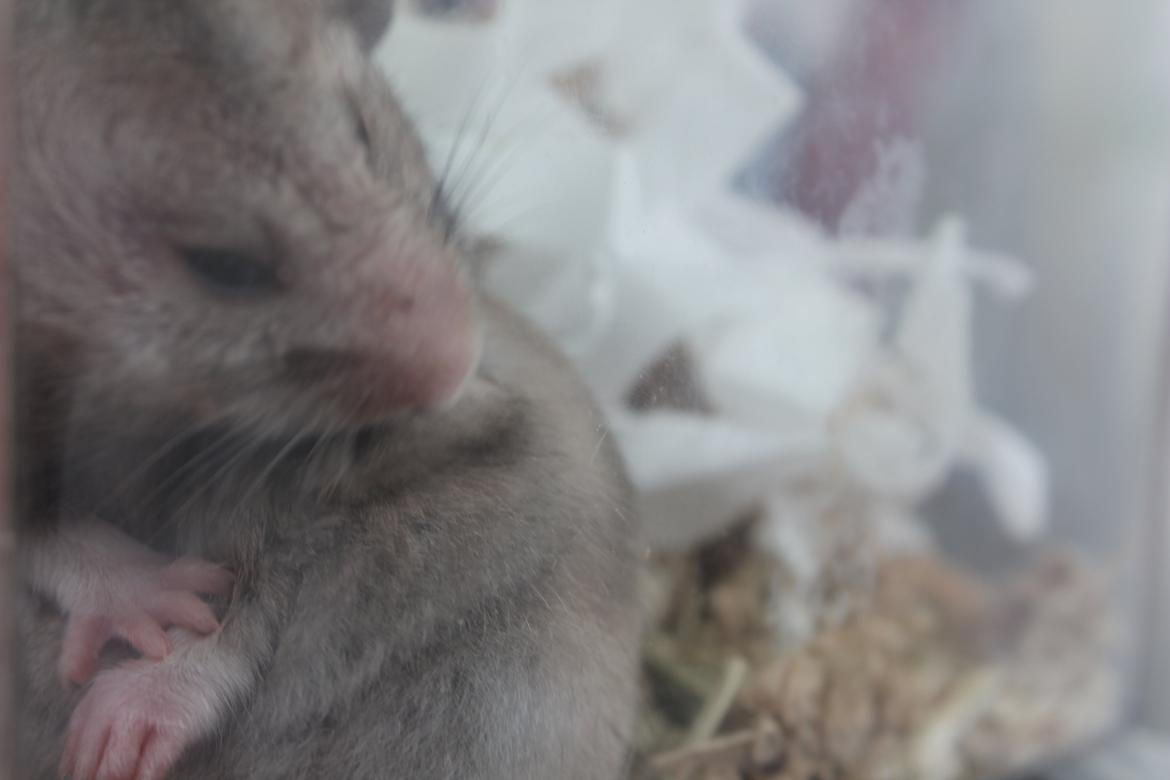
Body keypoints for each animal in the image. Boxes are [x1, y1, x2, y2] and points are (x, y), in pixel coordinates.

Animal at [12, 2, 643, 779]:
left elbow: (247, 621)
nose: (464, 368)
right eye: (225, 266)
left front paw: (117, 717)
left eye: (363, 132)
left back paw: (115, 726)